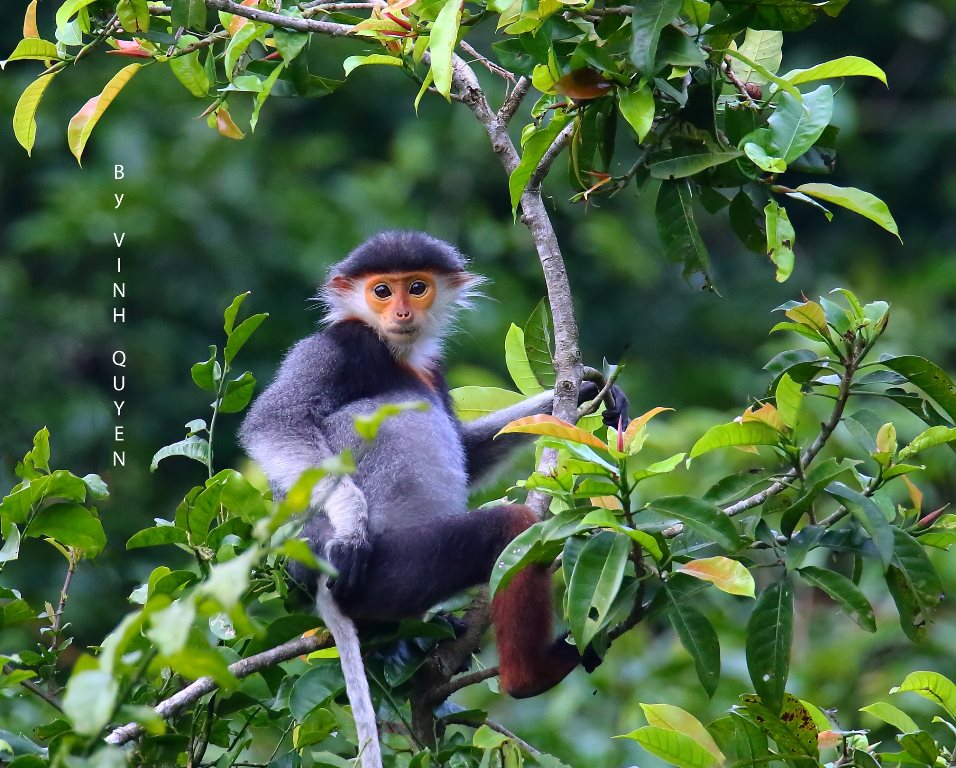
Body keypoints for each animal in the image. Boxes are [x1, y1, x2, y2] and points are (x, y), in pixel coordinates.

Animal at [239, 228, 628, 756]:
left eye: (417, 287)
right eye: (382, 291)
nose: (402, 313)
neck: (397, 355)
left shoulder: (434, 371)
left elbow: (468, 449)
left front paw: (584, 393)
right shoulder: (341, 344)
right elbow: (274, 422)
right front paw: (350, 528)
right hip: (391, 573)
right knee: (512, 531)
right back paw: (529, 676)